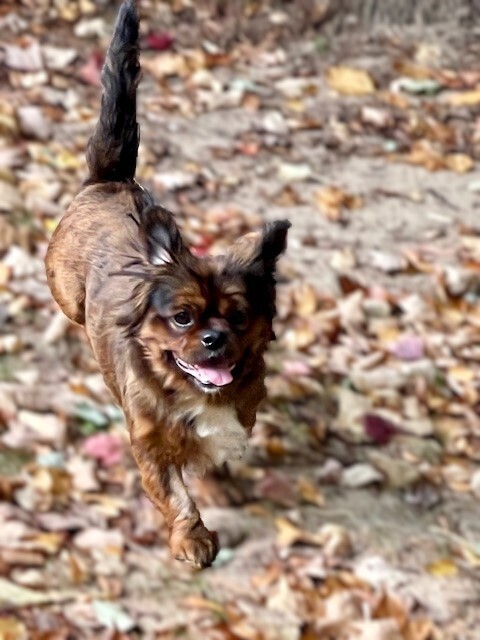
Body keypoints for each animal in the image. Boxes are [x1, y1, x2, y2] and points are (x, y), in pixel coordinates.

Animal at [45, 0, 288, 568]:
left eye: (239, 317)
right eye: (182, 318)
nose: (214, 338)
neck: (194, 393)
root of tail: (110, 180)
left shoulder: (236, 423)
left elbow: (215, 456)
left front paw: (223, 486)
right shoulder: (150, 445)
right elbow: (176, 495)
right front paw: (194, 538)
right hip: (65, 290)